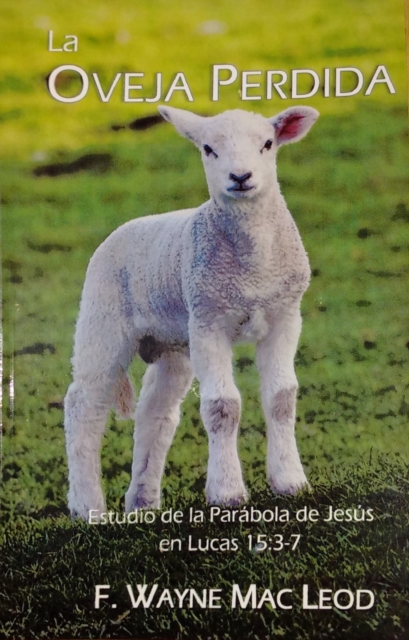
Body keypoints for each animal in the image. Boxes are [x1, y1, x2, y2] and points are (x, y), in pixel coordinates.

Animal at [64, 105, 319, 519]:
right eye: (208, 149)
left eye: (268, 144)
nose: (241, 177)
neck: (252, 268)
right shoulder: (208, 321)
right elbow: (222, 406)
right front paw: (227, 492)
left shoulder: (284, 315)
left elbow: (282, 397)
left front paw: (290, 482)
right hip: (102, 317)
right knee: (83, 405)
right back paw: (88, 507)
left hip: (172, 343)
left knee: (155, 413)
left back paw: (143, 503)